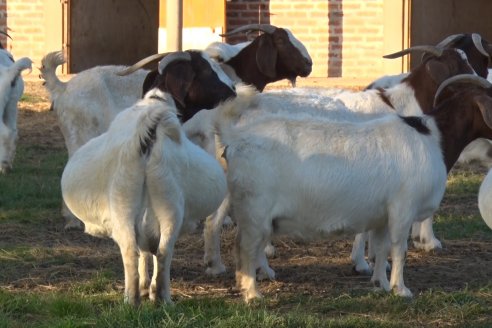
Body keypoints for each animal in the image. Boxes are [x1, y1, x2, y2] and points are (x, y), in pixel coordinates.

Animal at [62, 89, 229, 304]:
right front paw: (146, 289)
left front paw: (144, 288)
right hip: (166, 202)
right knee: (162, 251)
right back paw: (160, 299)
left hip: (124, 202)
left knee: (134, 251)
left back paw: (134, 299)